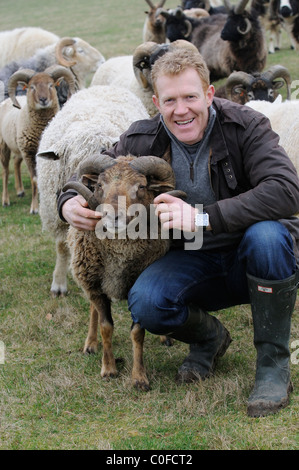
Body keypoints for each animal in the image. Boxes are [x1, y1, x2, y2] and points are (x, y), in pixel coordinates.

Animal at [0, 65, 75, 212]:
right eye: (32, 87)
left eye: (51, 85)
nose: (43, 100)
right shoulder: (29, 153)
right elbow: (35, 180)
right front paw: (34, 208)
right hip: (4, 144)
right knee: (5, 171)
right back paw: (6, 200)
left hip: (18, 148)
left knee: (16, 162)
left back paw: (20, 191)